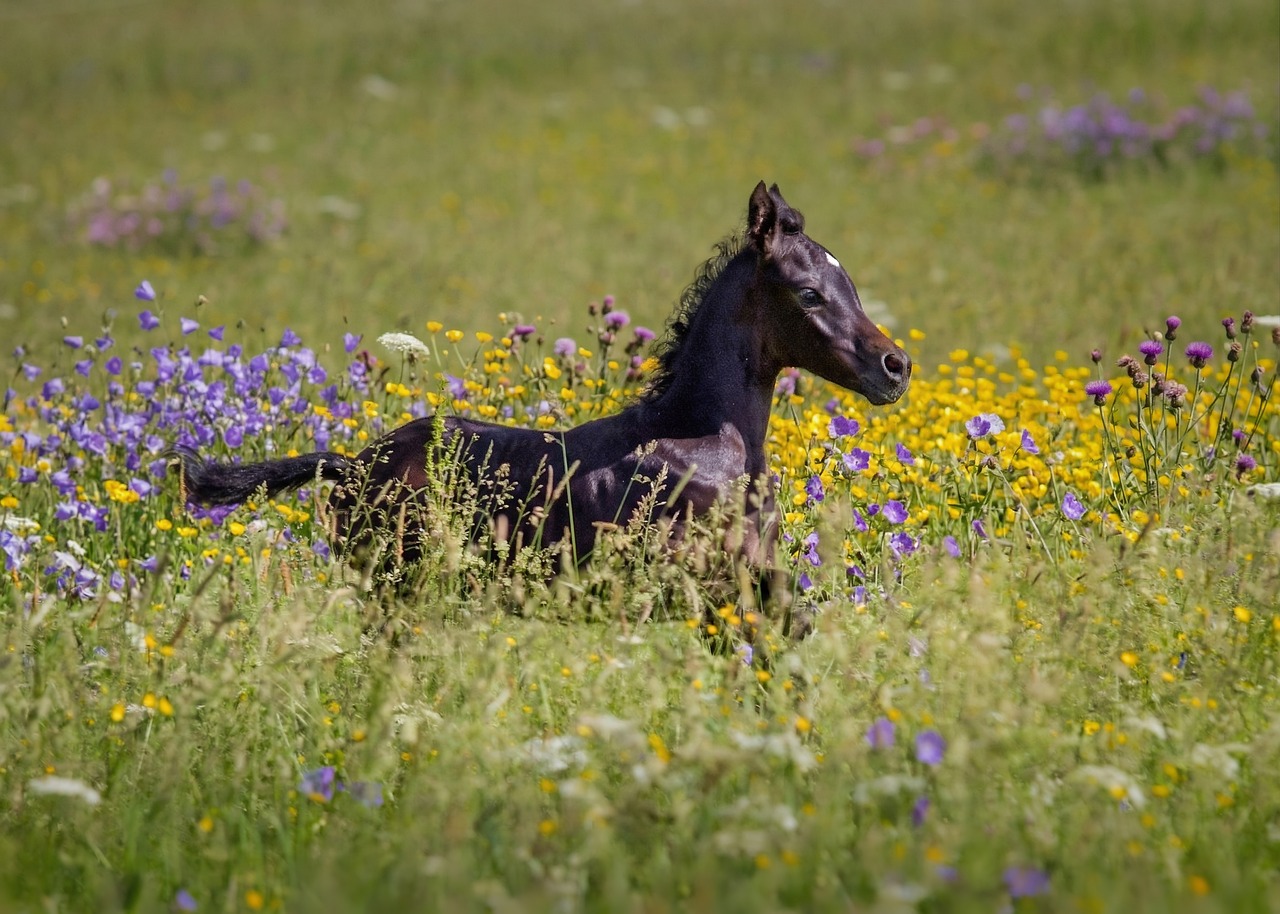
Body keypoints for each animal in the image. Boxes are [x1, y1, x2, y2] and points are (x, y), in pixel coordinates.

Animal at [176, 183, 911, 624]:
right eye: (809, 293)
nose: (895, 367)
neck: (709, 444)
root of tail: (353, 464)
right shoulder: (701, 592)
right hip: (395, 593)